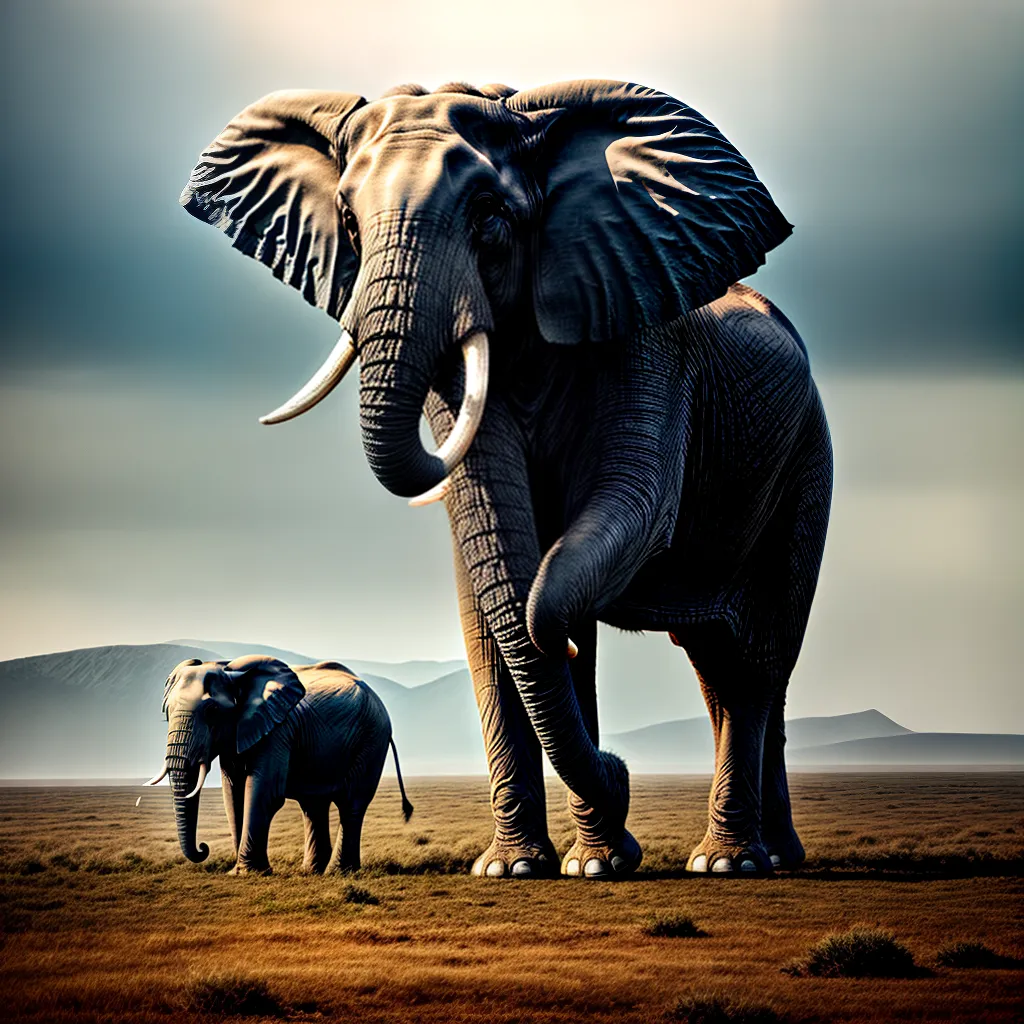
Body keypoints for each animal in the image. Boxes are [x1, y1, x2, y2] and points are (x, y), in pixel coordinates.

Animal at [146, 655, 413, 873]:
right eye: (166, 713)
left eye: (212, 710)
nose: (203, 847)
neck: (232, 671)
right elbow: (233, 796)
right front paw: (239, 871)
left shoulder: (278, 730)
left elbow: (264, 792)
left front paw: (248, 873)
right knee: (313, 806)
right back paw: (312, 871)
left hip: (372, 739)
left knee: (351, 802)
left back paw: (339, 872)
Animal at [179, 80, 832, 879]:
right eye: (347, 220)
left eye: (490, 216)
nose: (622, 772)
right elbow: (495, 604)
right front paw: (528, 868)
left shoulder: (641, 331)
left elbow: (615, 530)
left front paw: (588, 852)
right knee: (719, 665)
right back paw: (768, 856)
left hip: (807, 459)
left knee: (760, 658)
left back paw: (731, 863)